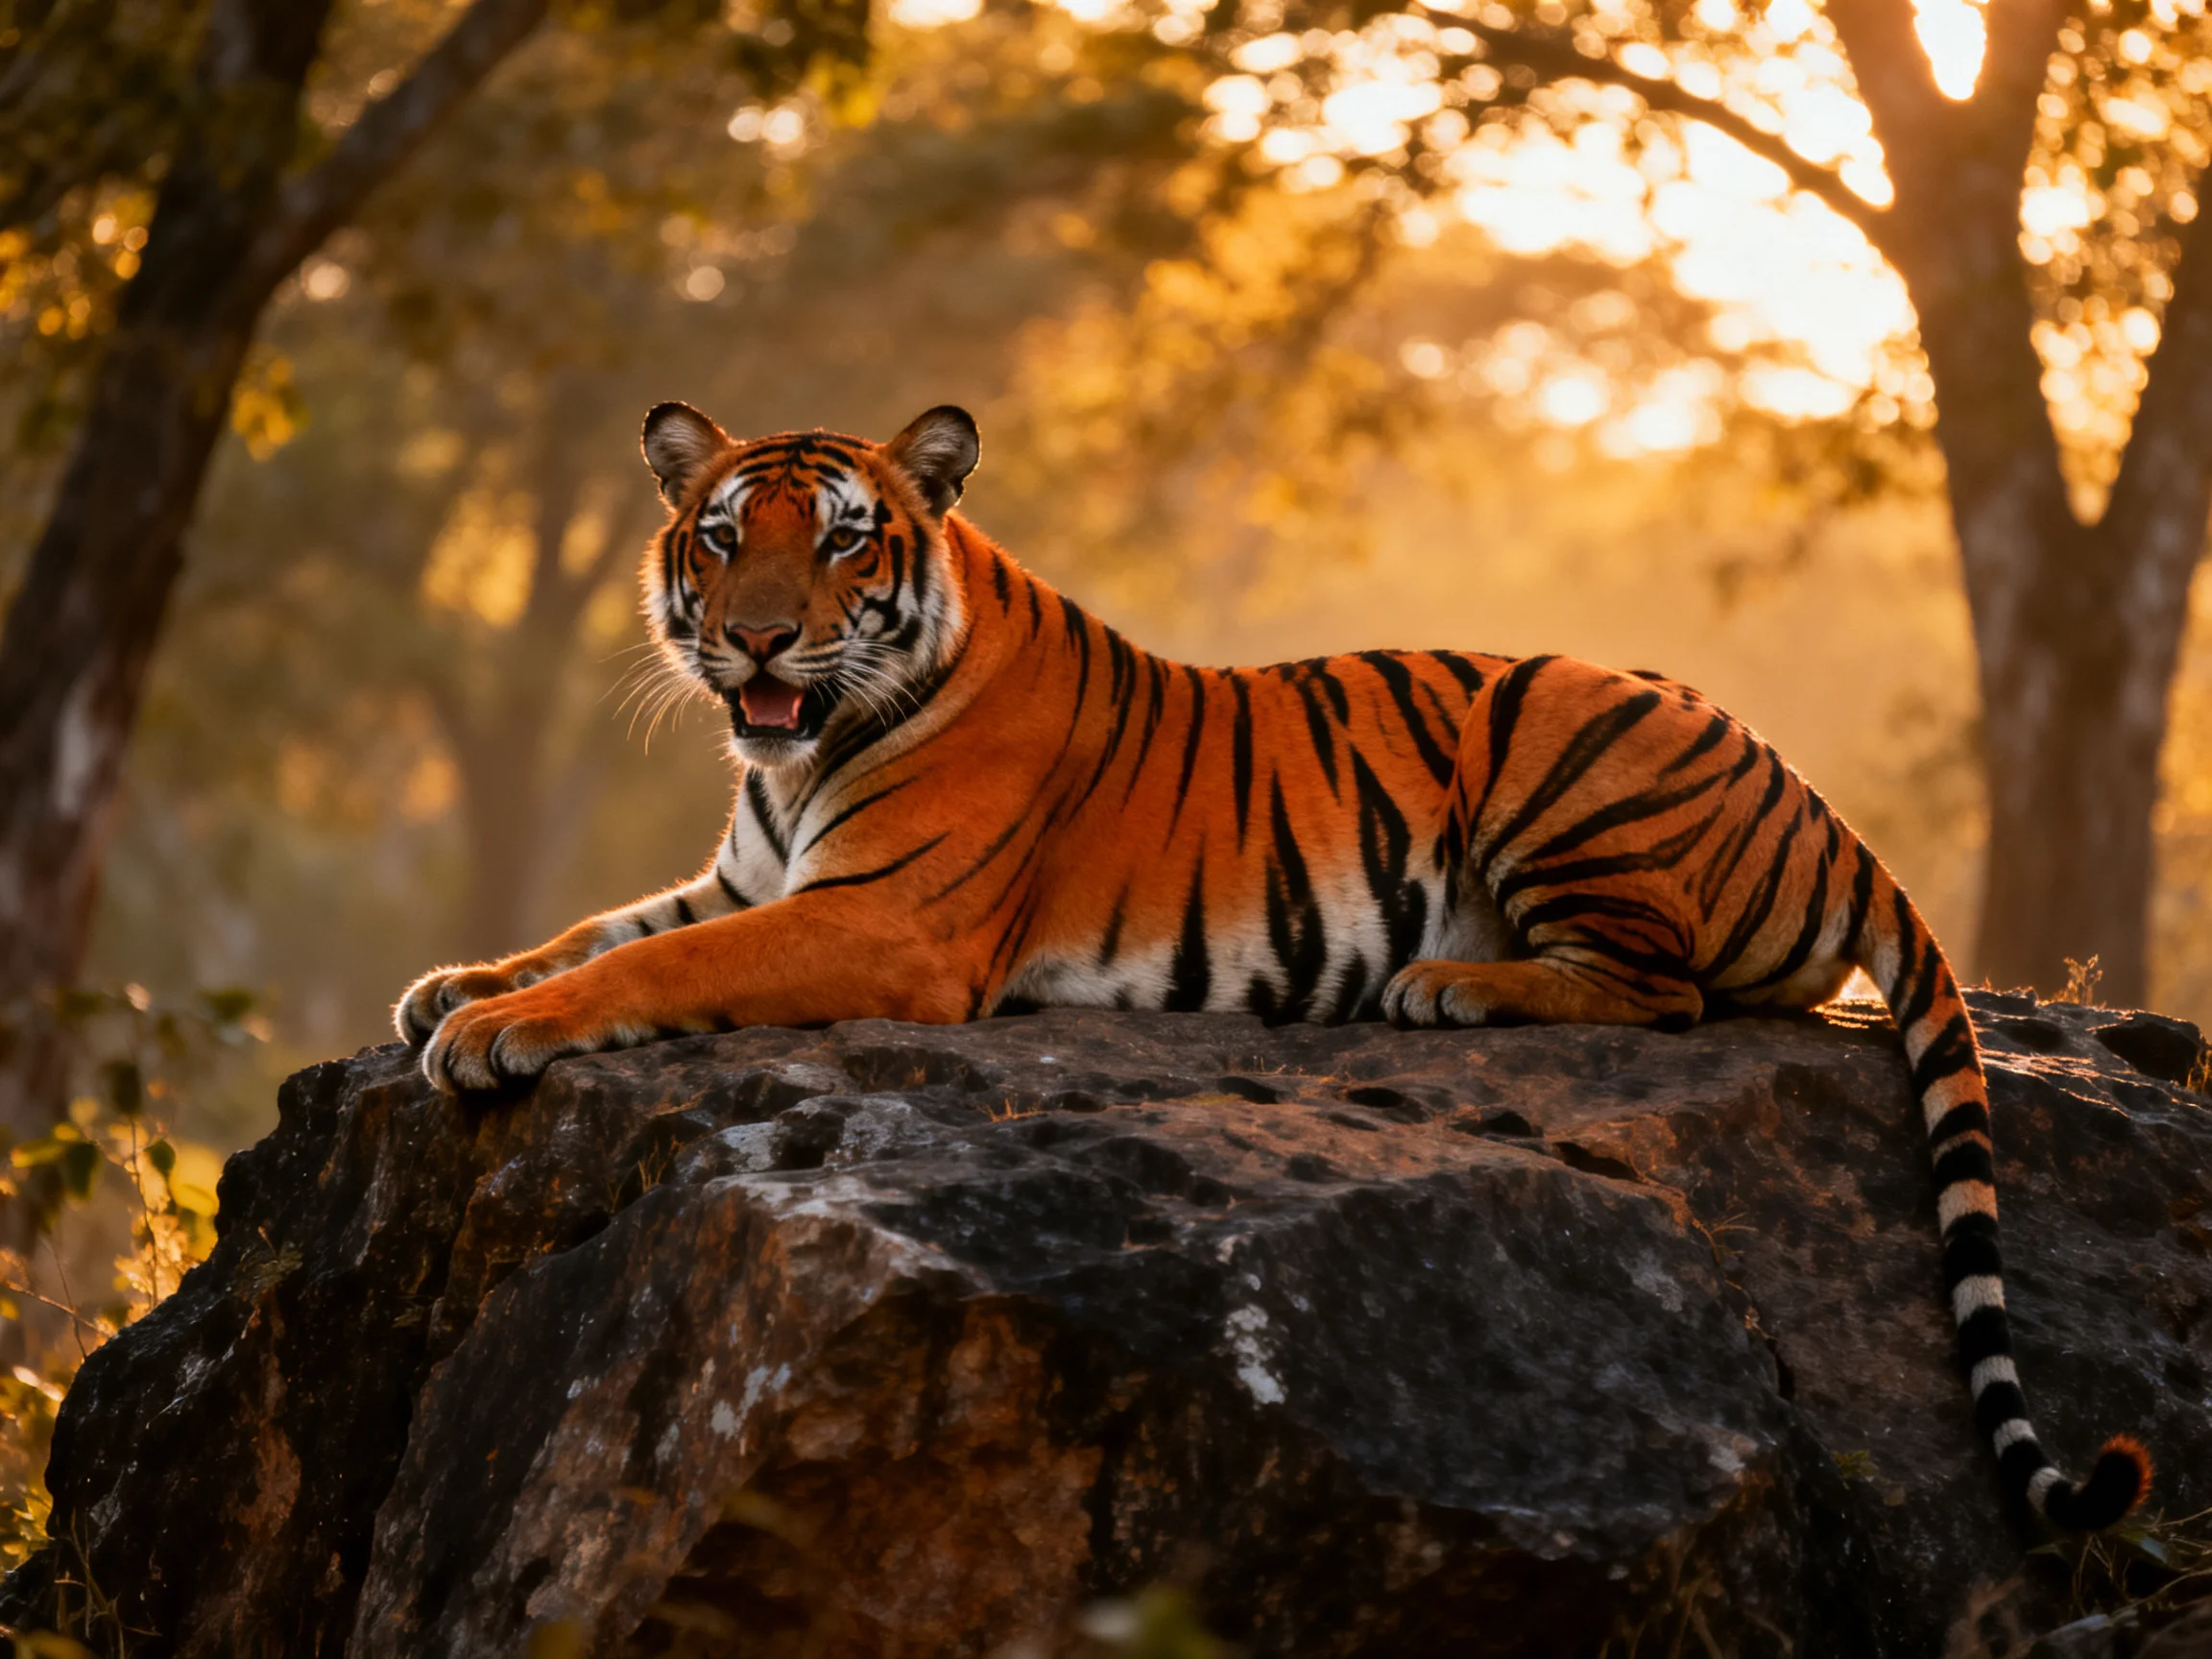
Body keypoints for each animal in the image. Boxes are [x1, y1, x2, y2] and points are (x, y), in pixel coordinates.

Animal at [397, 400, 2151, 1532]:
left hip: (1552, 726)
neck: (791, 752)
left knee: (1664, 986)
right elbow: (604, 929)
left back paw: (1450, 984)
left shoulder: (880, 917)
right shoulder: (745, 874)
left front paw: (490, 1030)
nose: (759, 639)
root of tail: (1824, 808)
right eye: (717, 538)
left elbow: (640, 971)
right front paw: (453, 981)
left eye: (839, 543)